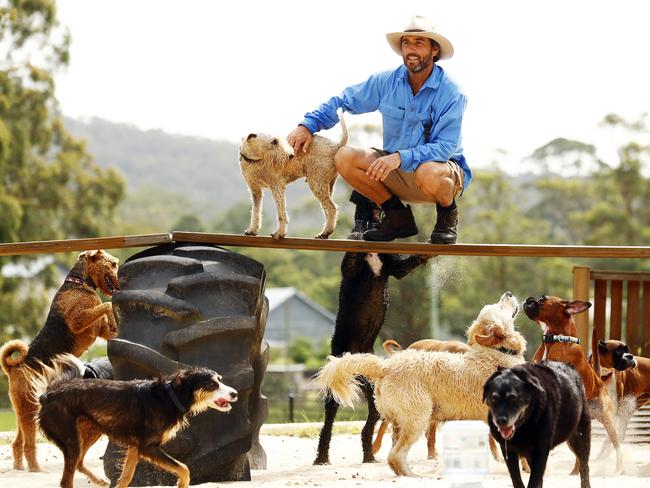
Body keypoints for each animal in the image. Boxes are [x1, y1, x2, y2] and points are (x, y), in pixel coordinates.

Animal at [0, 250, 119, 470]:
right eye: (113, 264)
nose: (121, 283)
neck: (79, 283)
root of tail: (13, 368)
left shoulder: (101, 330)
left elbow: (108, 319)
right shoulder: (78, 319)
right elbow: (105, 305)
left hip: (22, 410)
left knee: (17, 443)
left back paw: (20, 467)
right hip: (30, 409)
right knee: (29, 445)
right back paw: (36, 470)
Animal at [32, 354, 235, 488]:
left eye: (220, 380)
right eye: (212, 384)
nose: (235, 393)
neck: (169, 397)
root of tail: (48, 394)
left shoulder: (134, 447)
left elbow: (126, 478)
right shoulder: (147, 447)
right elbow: (184, 468)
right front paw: (182, 484)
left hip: (90, 430)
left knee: (79, 463)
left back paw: (99, 480)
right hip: (72, 438)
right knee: (67, 480)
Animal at [480, 360, 592, 488]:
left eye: (513, 397)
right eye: (494, 398)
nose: (500, 420)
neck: (523, 427)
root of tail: (570, 366)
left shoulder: (541, 452)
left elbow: (534, 481)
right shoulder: (508, 451)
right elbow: (516, 480)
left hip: (580, 438)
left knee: (584, 466)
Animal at [520, 296, 624, 474]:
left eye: (543, 299)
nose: (529, 299)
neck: (554, 340)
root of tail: (599, 380)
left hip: (609, 422)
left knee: (617, 447)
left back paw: (618, 469)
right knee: (580, 456)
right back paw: (574, 473)